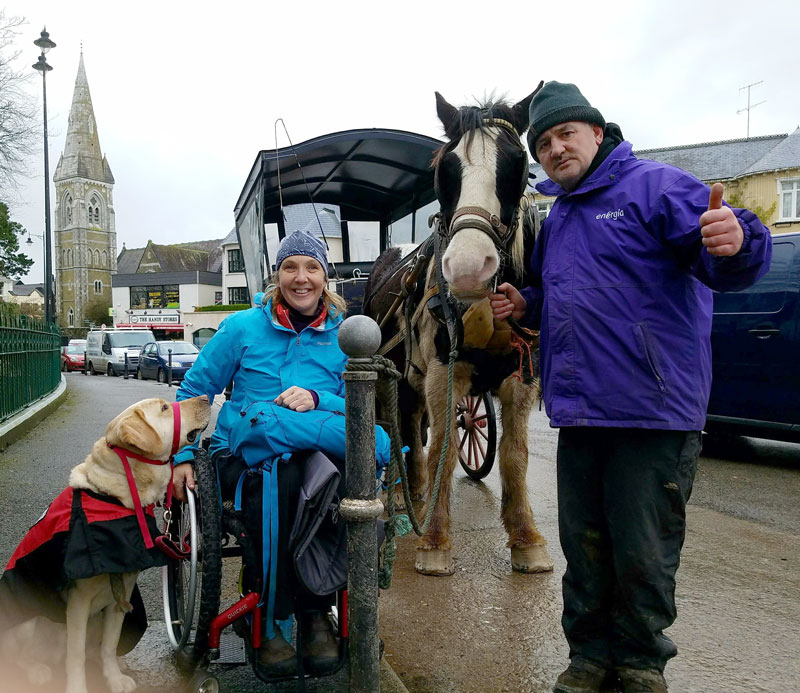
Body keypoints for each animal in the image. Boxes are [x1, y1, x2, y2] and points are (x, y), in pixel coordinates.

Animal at [0, 394, 211, 692]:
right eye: (164, 408)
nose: (206, 397)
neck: (116, 498)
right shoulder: (78, 601)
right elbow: (75, 654)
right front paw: (77, 687)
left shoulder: (120, 595)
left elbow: (109, 646)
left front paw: (113, 678)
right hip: (27, 622)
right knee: (22, 656)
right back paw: (35, 670)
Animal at [366, 88, 552, 572]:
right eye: (444, 171)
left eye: (519, 165)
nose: (468, 268)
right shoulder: (441, 375)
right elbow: (444, 451)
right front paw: (434, 539)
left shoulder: (522, 378)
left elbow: (515, 457)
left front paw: (526, 537)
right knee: (404, 431)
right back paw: (406, 495)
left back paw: (414, 491)